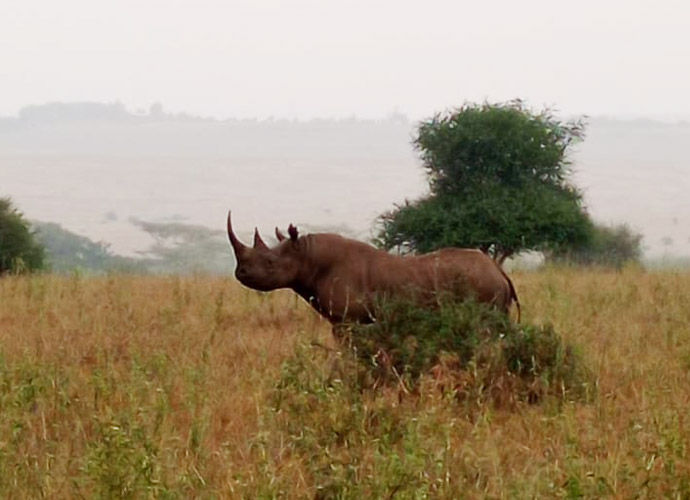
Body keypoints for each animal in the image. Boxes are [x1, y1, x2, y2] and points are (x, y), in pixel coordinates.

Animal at [227, 211, 520, 324]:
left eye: (269, 263)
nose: (240, 273)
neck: (308, 256)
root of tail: (499, 272)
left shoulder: (348, 320)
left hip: (482, 285)